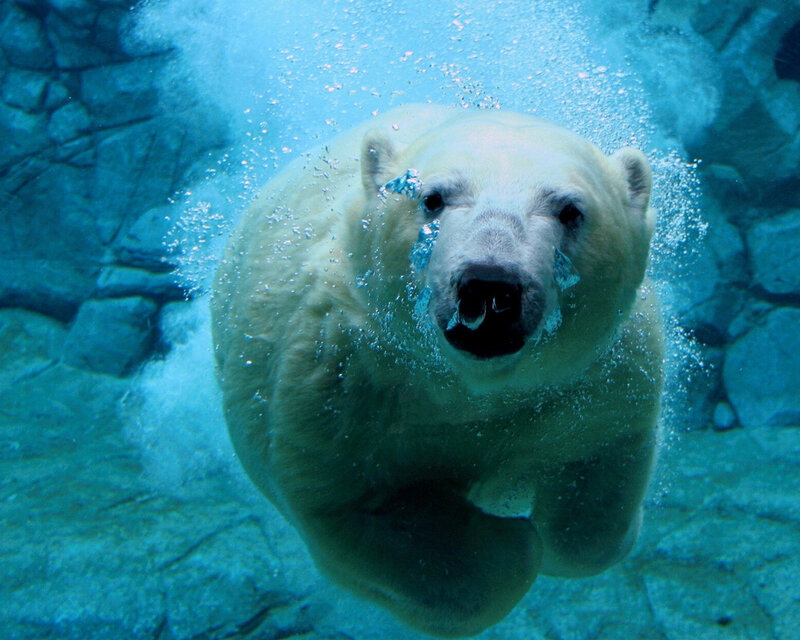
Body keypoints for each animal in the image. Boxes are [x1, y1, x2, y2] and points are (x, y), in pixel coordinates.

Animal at [211, 104, 664, 638]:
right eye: (432, 198)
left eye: (571, 210)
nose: (490, 285)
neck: (469, 387)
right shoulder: (339, 381)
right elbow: (356, 508)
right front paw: (509, 543)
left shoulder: (596, 377)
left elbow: (597, 479)